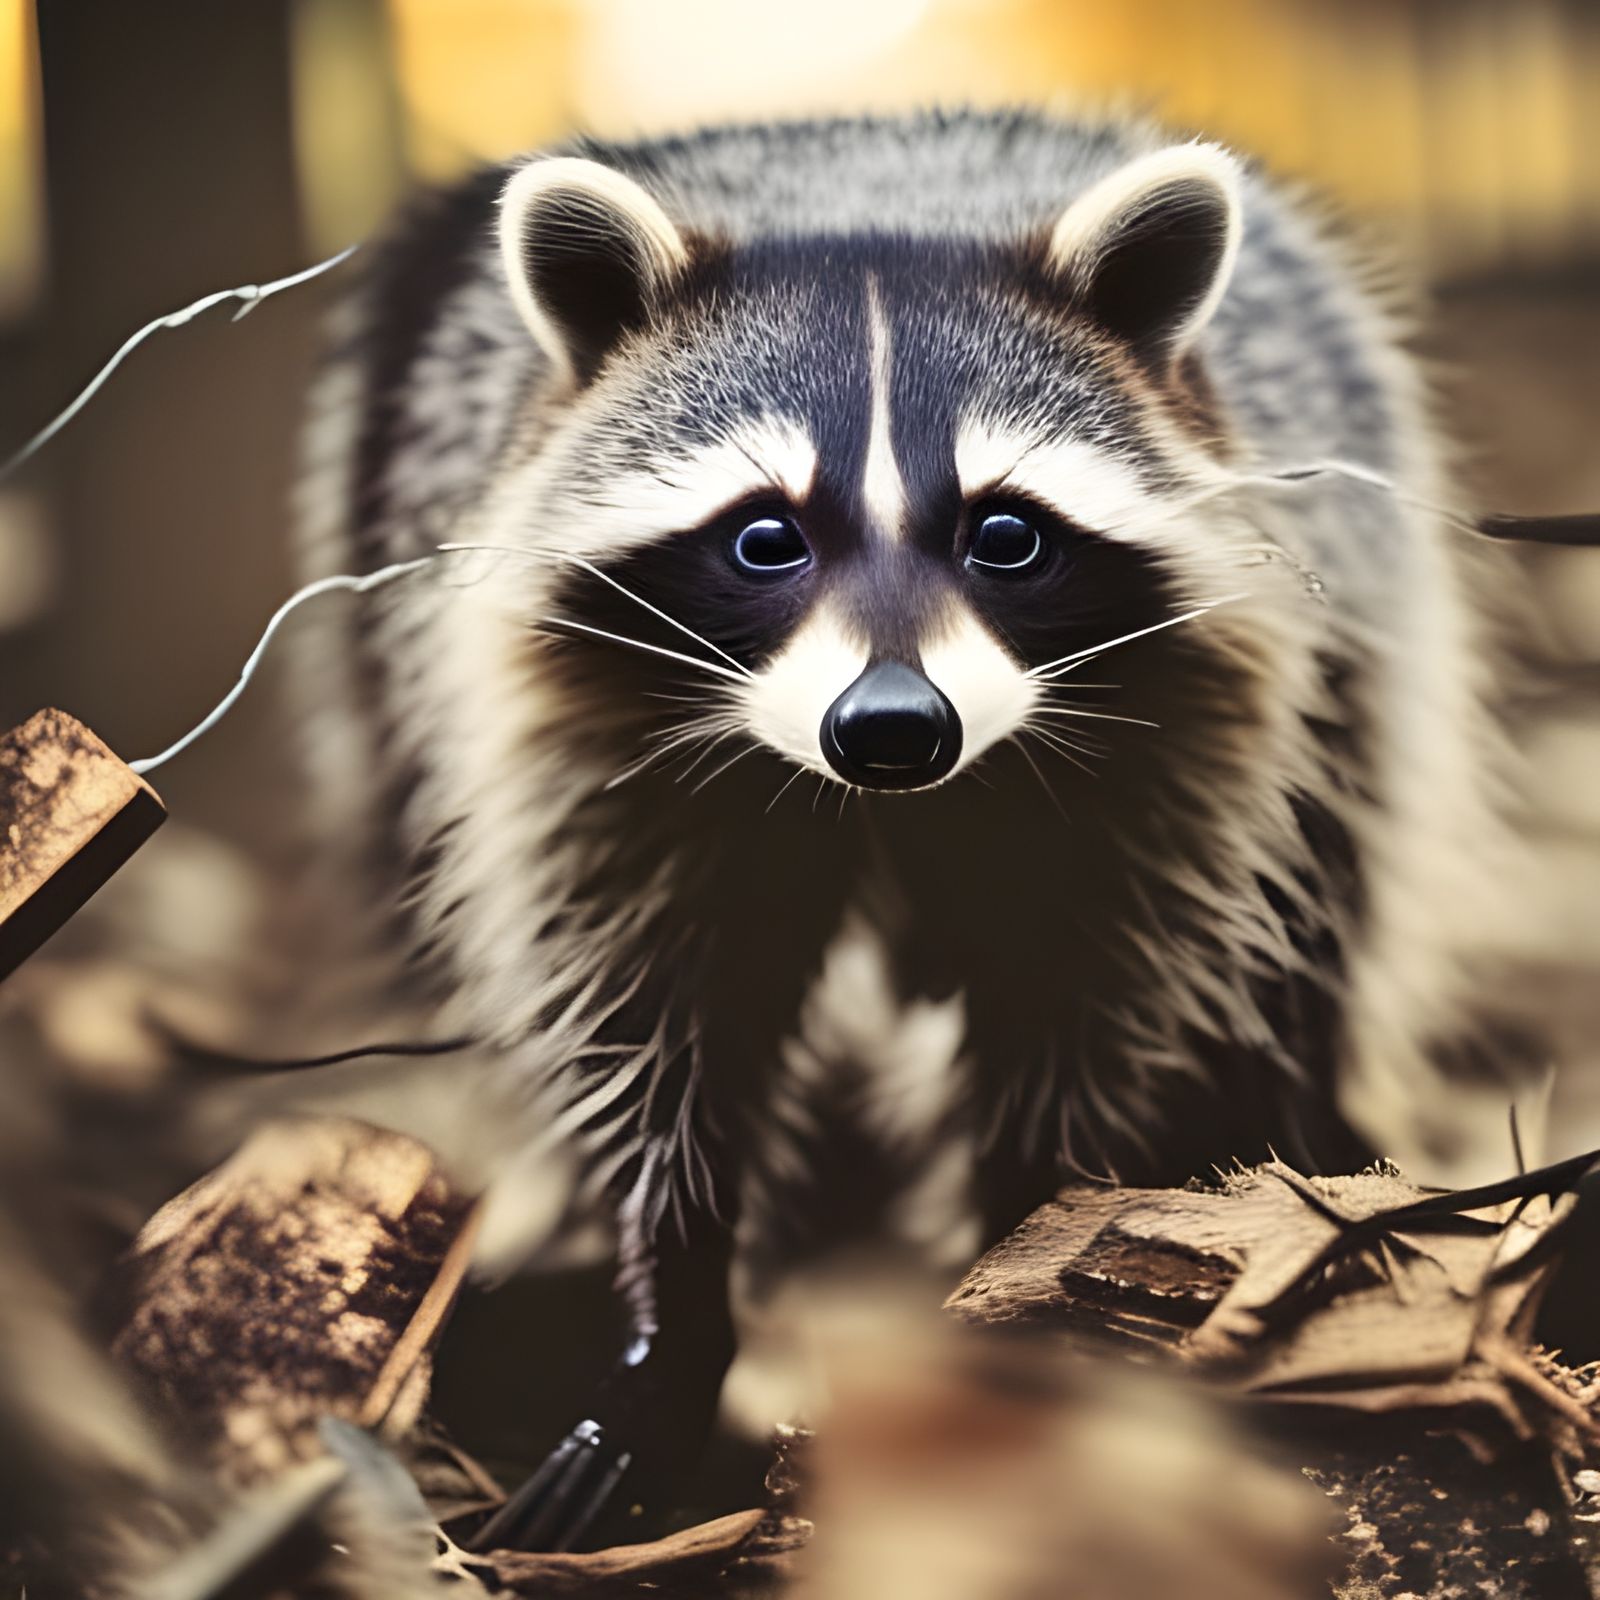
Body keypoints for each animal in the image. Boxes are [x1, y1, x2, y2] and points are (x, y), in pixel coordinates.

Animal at [293, 109, 1516, 1535]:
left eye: (1006, 534)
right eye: (765, 537)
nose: (891, 726)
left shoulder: (1181, 713)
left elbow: (1085, 994)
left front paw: (1029, 1250)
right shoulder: (587, 732)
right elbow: (646, 1020)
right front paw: (670, 1301)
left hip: (1364, 613)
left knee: (1323, 888)